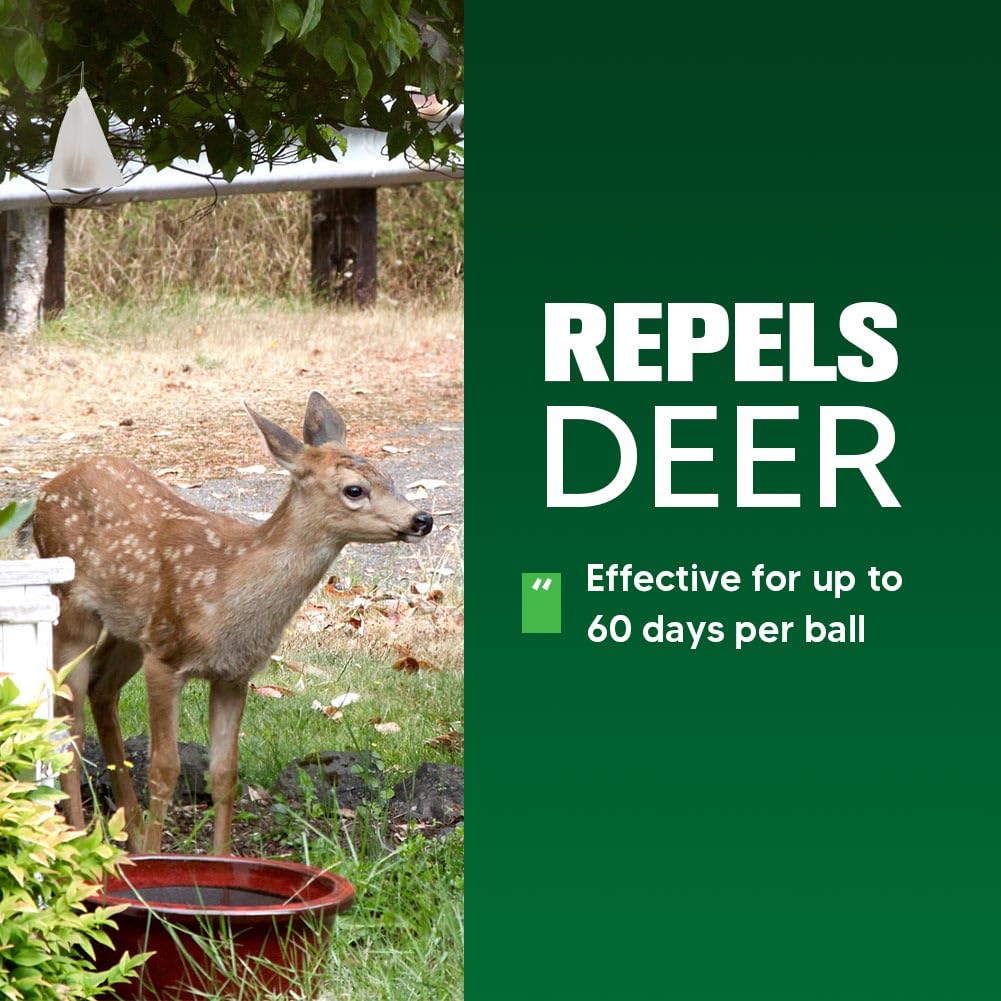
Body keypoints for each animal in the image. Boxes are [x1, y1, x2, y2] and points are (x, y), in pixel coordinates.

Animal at [32, 392, 433, 855]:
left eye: (389, 476)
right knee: (68, 720)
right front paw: (157, 857)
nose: (422, 519)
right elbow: (164, 769)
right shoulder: (166, 659)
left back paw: (128, 838)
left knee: (102, 689)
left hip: (129, 629)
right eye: (355, 489)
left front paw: (219, 859)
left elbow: (225, 773)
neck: (228, 594)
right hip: (73, 610)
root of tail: (44, 493)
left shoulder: (234, 674)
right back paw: (80, 839)